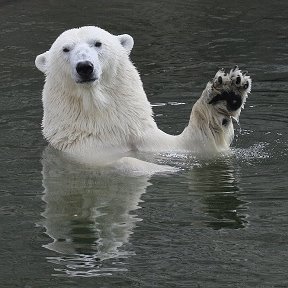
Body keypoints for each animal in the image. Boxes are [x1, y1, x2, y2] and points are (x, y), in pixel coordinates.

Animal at [35, 26, 252, 170]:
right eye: (65, 49)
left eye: (97, 43)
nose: (84, 66)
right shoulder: (84, 151)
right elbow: (124, 162)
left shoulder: (144, 136)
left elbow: (196, 144)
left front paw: (227, 92)